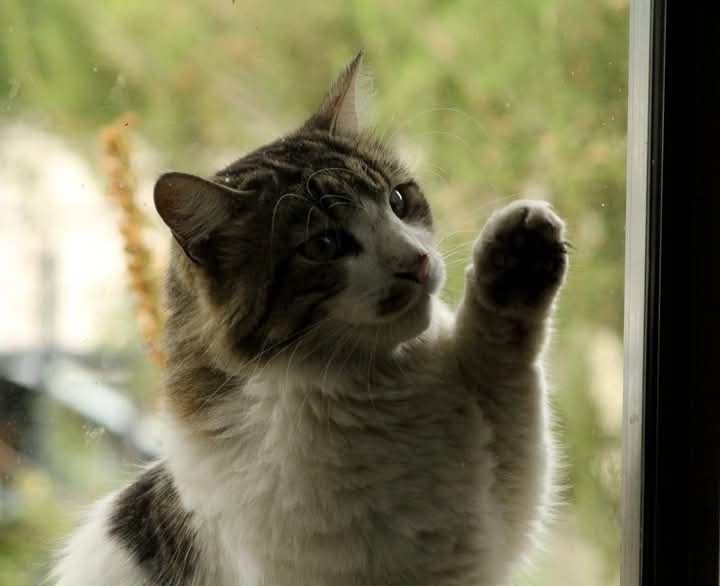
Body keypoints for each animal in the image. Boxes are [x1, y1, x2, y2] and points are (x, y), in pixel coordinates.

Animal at [50, 51, 568, 584]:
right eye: (324, 245)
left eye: (398, 201)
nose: (417, 262)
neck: (382, 390)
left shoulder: (498, 508)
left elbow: (505, 362)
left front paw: (519, 259)